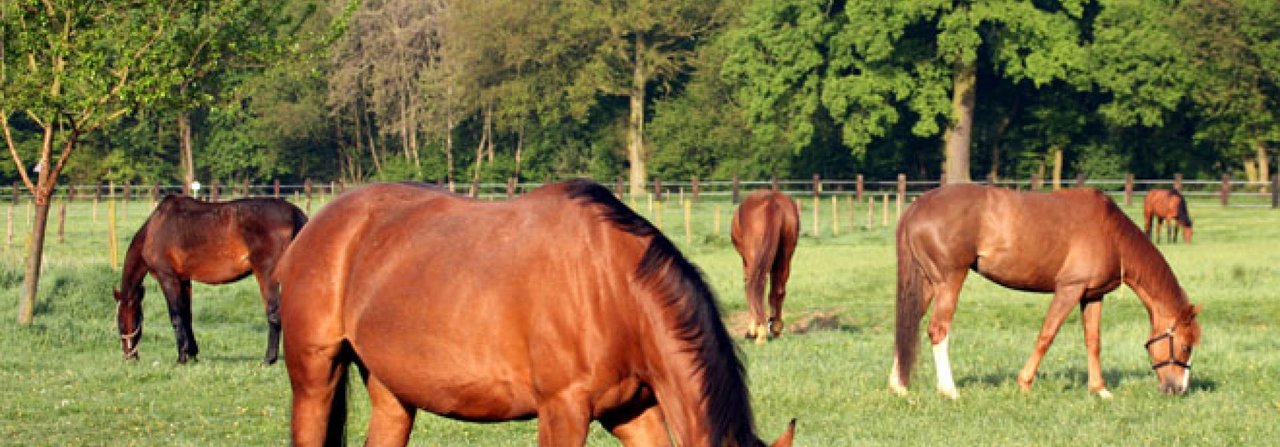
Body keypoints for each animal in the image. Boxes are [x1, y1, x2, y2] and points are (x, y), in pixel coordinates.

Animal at [112, 194, 307, 361]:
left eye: (121, 323)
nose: (129, 356)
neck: (156, 228)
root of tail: (295, 214)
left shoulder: (167, 277)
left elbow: (176, 317)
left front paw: (181, 357)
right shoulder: (184, 280)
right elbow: (186, 315)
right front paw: (192, 354)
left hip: (266, 274)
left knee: (274, 313)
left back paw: (269, 359)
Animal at [732, 189, 798, 343]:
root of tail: (772, 202)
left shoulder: (746, 261)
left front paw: (752, 331)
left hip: (752, 259)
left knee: (754, 286)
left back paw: (760, 333)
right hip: (785, 258)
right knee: (778, 290)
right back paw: (775, 327)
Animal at [890, 183, 1198, 399]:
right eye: (1185, 346)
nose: (1179, 389)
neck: (1111, 233)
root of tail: (916, 207)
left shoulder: (1092, 295)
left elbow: (1093, 341)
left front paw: (1099, 390)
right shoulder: (1069, 289)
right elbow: (1046, 336)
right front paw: (1025, 383)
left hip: (927, 283)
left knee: (908, 324)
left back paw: (899, 386)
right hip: (949, 281)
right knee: (938, 330)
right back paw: (949, 390)